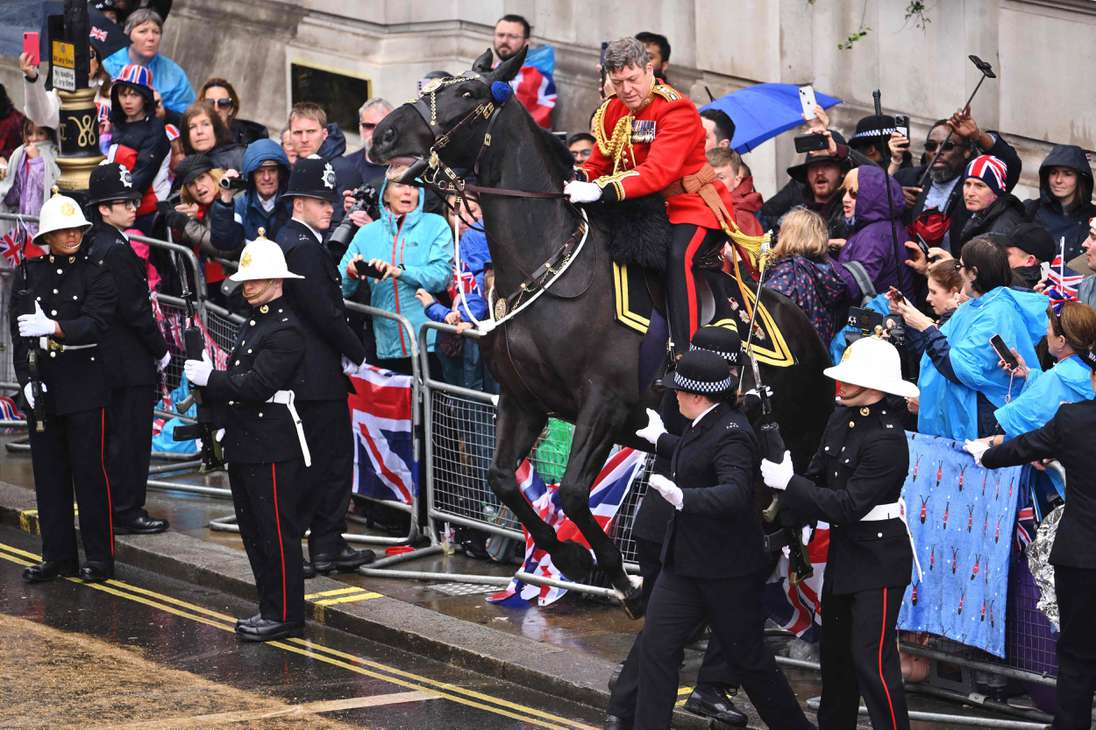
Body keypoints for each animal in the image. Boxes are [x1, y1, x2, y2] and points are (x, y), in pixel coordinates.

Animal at [374, 46, 828, 613]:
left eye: (468, 93)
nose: (382, 135)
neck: (552, 267)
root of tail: (814, 337)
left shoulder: (604, 406)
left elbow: (570, 491)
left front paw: (615, 576)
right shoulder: (524, 402)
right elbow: (502, 480)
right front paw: (571, 559)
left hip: (792, 446)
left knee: (782, 520)